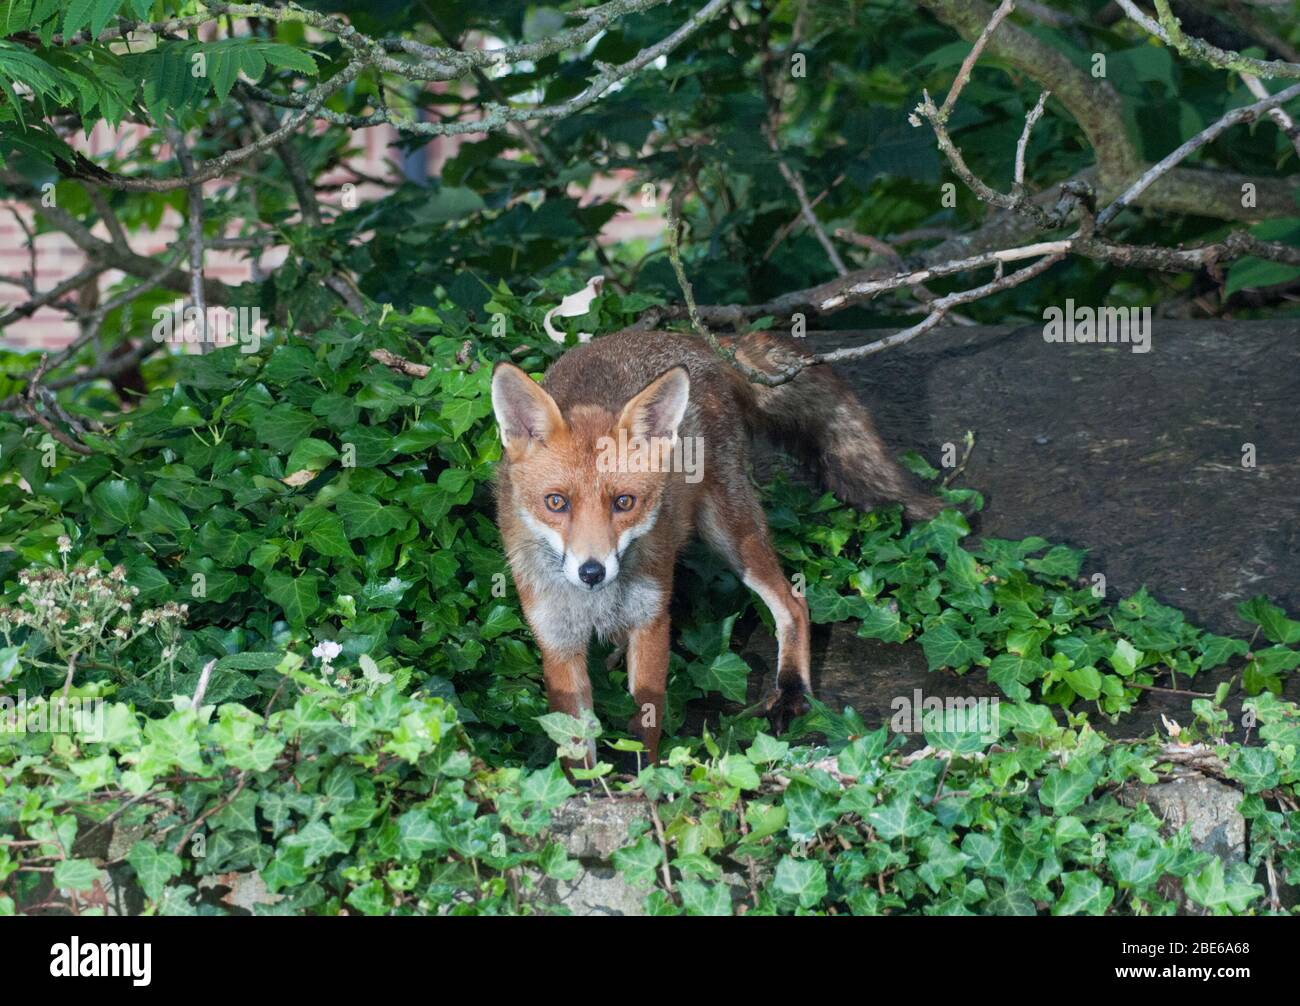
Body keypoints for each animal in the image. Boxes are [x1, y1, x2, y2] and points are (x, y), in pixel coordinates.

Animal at [491, 331, 941, 764]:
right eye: (556, 502)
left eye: (624, 502)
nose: (591, 571)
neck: (595, 601)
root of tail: (693, 338)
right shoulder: (557, 638)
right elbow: (574, 746)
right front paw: (587, 783)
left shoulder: (650, 621)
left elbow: (645, 727)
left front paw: (648, 779)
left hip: (730, 533)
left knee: (794, 602)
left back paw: (792, 691)